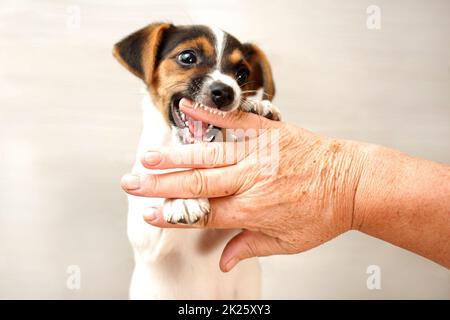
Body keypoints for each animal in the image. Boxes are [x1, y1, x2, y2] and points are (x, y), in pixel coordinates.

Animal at [112, 23, 282, 300]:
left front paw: (258, 107)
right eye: (187, 57)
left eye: (242, 74)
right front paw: (182, 199)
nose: (225, 92)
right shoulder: (143, 233)